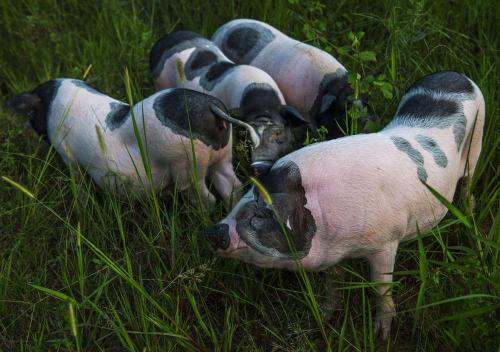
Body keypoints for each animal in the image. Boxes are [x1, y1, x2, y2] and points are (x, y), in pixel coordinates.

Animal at [7, 78, 242, 205]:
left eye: (31, 113)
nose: (26, 125)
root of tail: (212, 107)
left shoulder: (66, 153)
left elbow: (78, 182)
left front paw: (82, 204)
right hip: (223, 157)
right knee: (232, 186)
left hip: (187, 166)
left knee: (207, 197)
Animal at [148, 31, 308, 174]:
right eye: (246, 136)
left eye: (278, 132)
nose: (260, 165)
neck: (262, 106)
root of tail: (163, 40)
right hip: (160, 82)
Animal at [202, 71, 484, 338]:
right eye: (242, 201)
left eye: (260, 216)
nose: (213, 230)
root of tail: (456, 76)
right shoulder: (333, 254)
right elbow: (333, 284)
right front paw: (322, 318)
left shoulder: (386, 242)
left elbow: (381, 288)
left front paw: (381, 335)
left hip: (478, 140)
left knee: (468, 184)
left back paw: (472, 224)